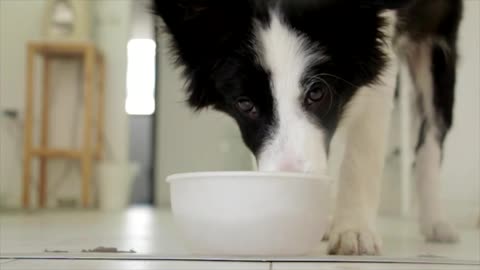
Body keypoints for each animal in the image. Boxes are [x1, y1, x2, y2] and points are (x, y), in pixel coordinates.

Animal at [152, 0, 464, 254]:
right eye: (245, 104)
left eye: (317, 93)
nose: (289, 185)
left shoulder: (376, 55)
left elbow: (361, 152)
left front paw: (354, 230)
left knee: (431, 135)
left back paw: (436, 221)